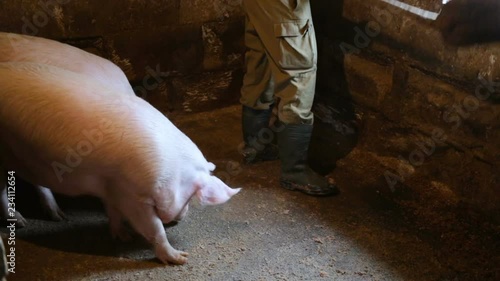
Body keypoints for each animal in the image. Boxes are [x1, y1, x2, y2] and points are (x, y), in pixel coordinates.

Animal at [0, 60, 240, 262]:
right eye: (190, 197)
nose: (181, 218)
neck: (169, 169)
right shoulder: (134, 195)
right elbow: (154, 228)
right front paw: (180, 258)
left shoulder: (112, 186)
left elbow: (113, 211)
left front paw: (123, 237)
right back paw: (21, 222)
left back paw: (58, 217)